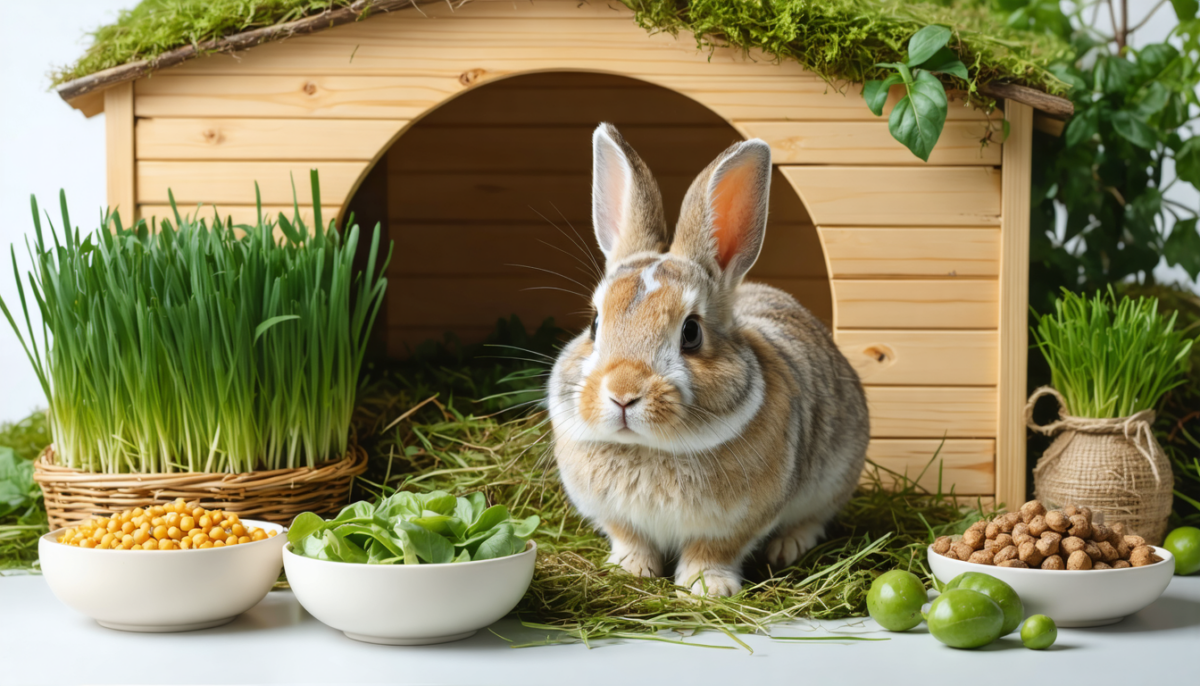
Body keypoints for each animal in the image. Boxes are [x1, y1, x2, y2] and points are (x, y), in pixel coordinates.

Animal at [547, 123, 870, 598]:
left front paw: (706, 589)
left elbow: (713, 551)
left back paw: (787, 547)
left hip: (837, 474)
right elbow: (630, 540)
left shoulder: (735, 524)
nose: (623, 394)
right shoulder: (618, 519)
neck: (647, 448)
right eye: (594, 323)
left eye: (691, 333)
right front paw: (629, 571)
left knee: (815, 519)